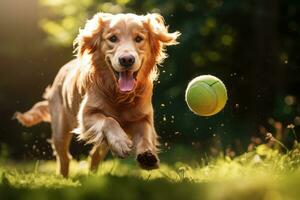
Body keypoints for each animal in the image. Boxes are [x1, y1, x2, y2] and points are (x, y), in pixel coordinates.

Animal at [15, 13, 179, 177]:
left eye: (139, 38)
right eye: (113, 38)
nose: (127, 60)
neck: (119, 95)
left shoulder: (143, 117)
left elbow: (146, 135)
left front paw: (147, 156)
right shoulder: (86, 115)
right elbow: (108, 120)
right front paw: (121, 142)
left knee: (95, 154)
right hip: (60, 129)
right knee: (64, 157)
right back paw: (63, 178)